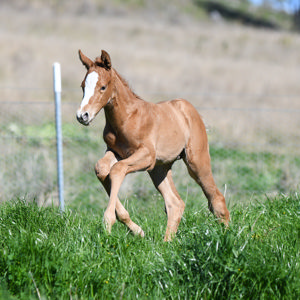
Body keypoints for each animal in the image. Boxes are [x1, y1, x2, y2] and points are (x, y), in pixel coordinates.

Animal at [76, 49, 229, 241]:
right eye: (83, 86)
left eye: (103, 87)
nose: (82, 116)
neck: (127, 117)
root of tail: (189, 109)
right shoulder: (116, 152)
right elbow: (102, 168)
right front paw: (136, 230)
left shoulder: (147, 155)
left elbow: (117, 170)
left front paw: (108, 222)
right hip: (159, 168)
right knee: (175, 203)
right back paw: (166, 243)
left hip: (196, 162)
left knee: (216, 197)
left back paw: (227, 235)